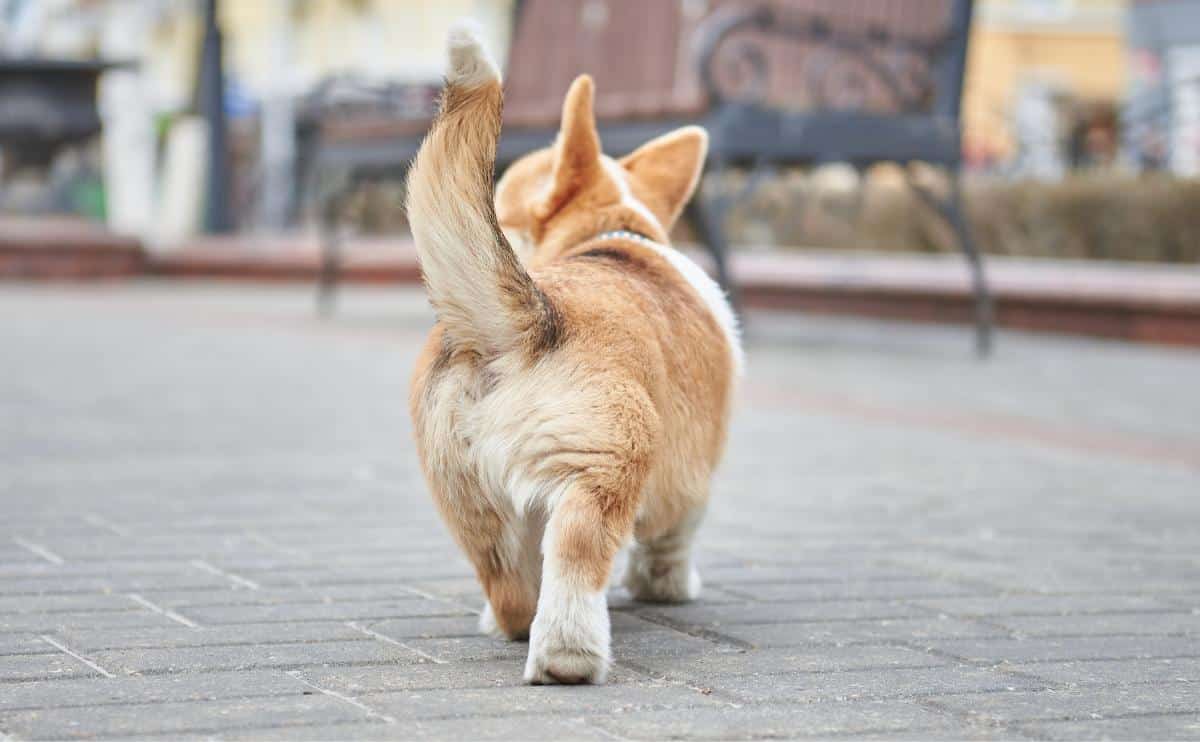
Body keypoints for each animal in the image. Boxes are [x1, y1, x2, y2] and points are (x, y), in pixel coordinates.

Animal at [408, 27, 734, 681]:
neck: (607, 235)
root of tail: (525, 323)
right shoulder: (692, 480)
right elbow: (673, 539)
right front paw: (669, 587)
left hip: (465, 492)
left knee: (509, 588)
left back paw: (510, 624)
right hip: (606, 462)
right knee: (577, 555)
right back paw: (569, 656)